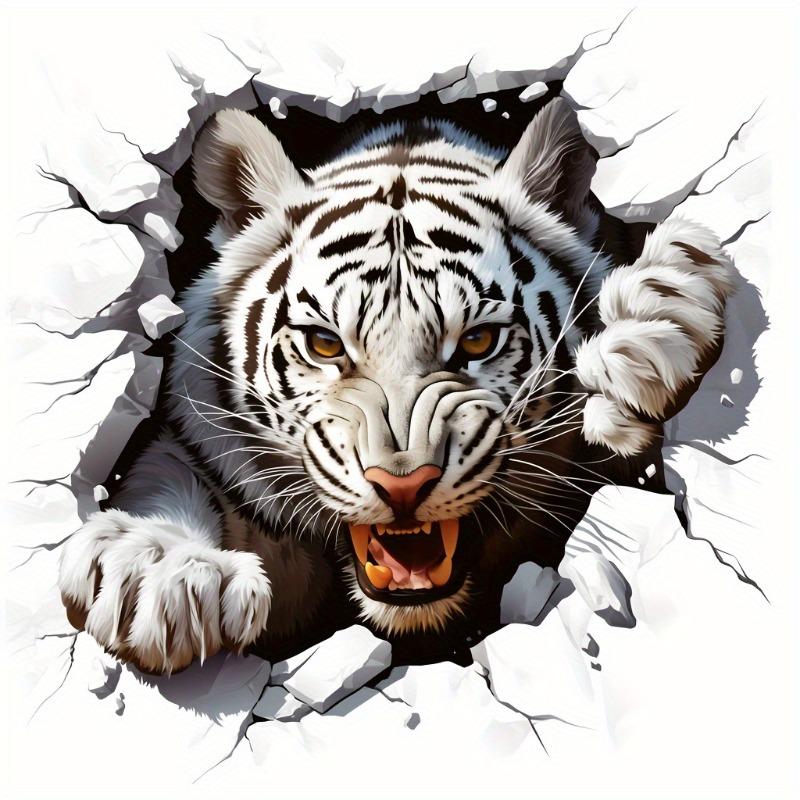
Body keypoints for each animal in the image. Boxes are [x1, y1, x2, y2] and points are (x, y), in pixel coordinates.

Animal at [57, 98, 734, 673]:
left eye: (477, 342)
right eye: (326, 345)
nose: (402, 486)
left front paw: (651, 320)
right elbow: (167, 469)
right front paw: (158, 572)